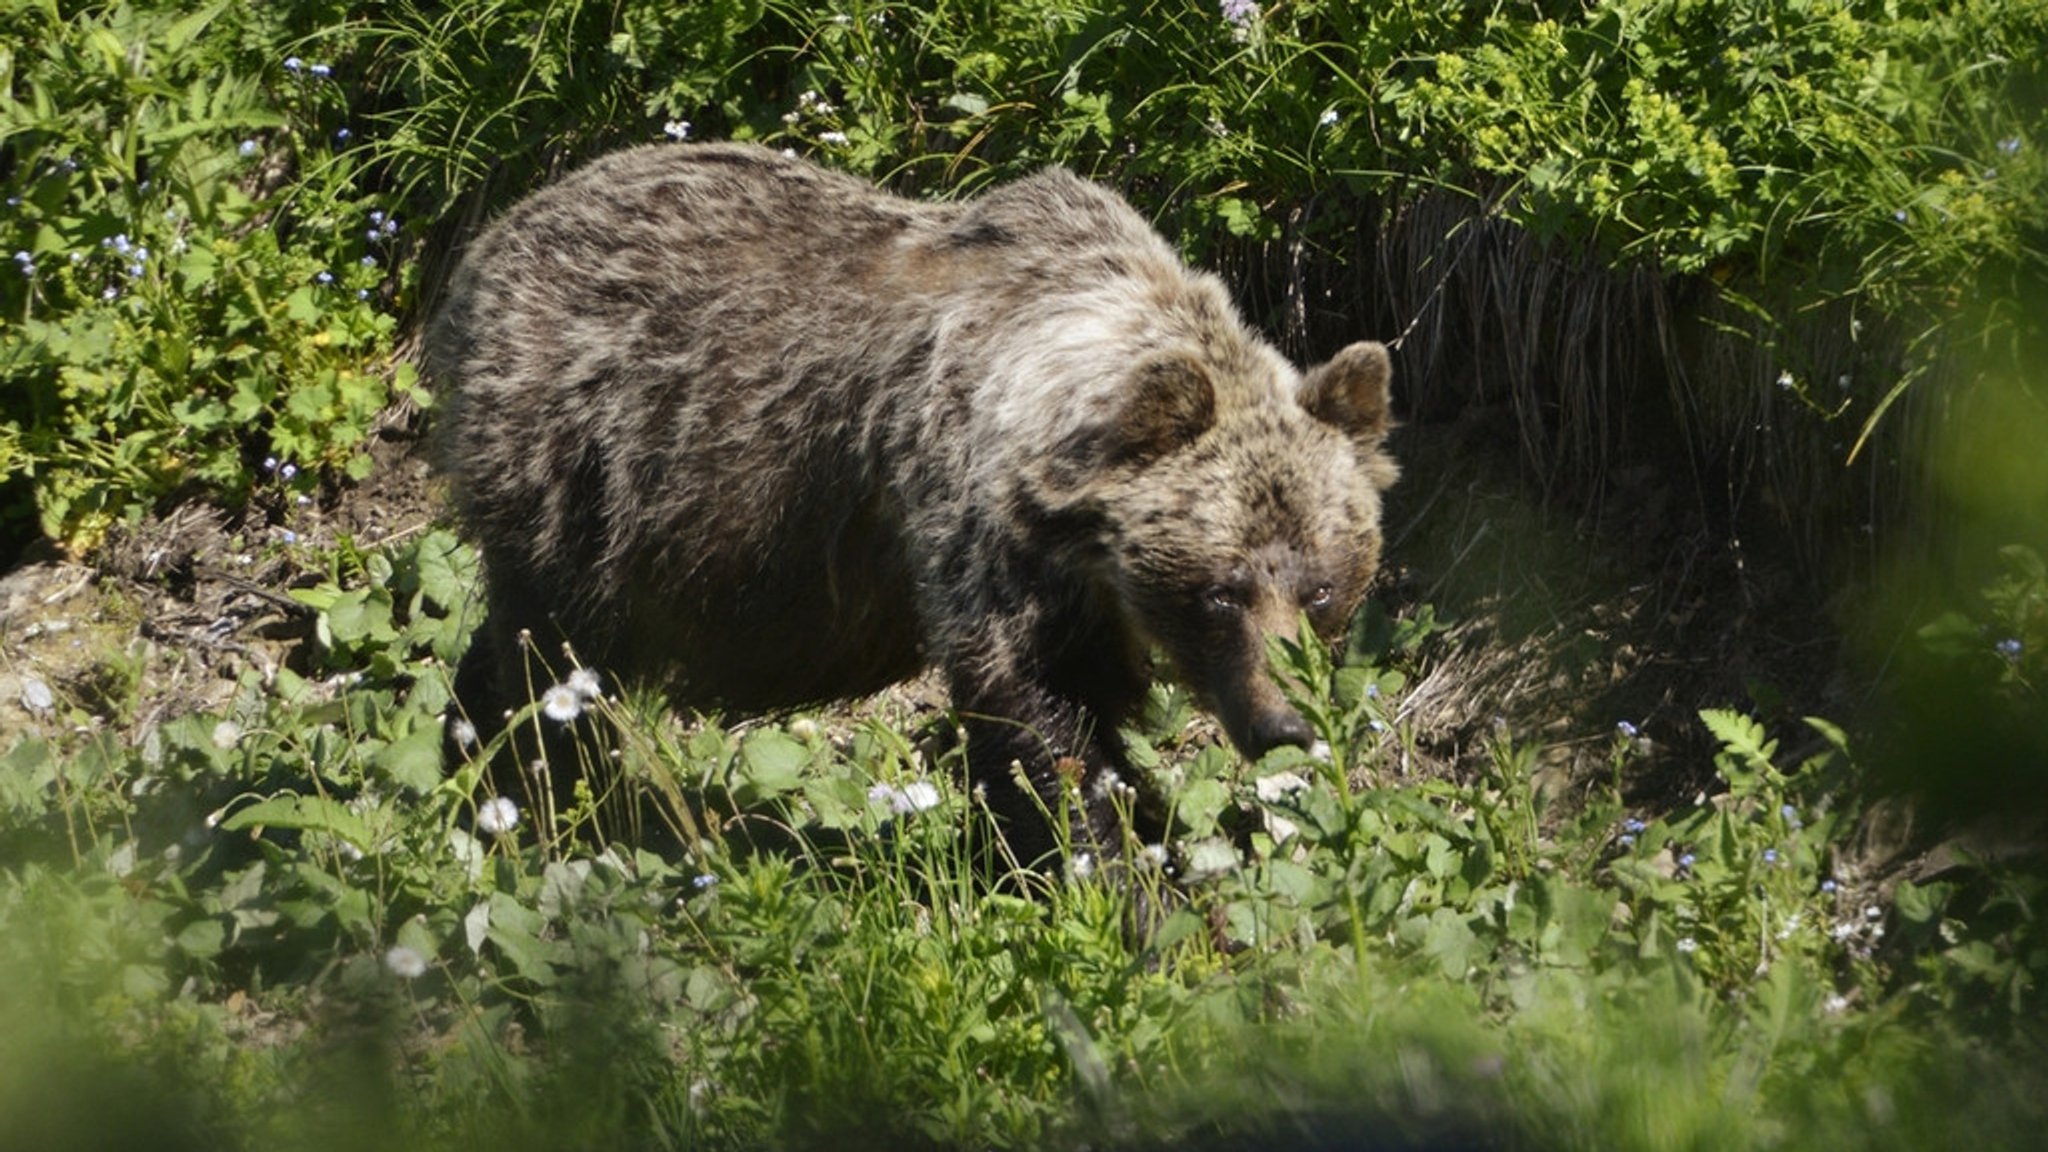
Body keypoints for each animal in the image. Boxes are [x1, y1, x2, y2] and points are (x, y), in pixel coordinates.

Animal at [425, 141, 1400, 860]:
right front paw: (1122, 875)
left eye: (1321, 586)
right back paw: (529, 796)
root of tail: (490, 241)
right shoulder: (976, 522)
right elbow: (1038, 719)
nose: (1285, 723)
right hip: (584, 471)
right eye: (1220, 590)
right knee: (548, 656)